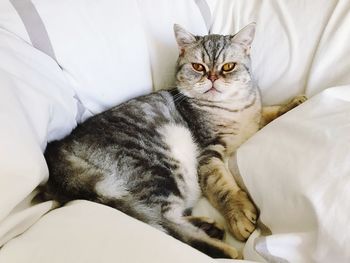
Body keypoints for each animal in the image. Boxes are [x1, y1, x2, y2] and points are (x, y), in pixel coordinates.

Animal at [39, 23, 306, 260]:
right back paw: (223, 250)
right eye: (198, 66)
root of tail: (59, 148)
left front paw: (293, 104)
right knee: (165, 223)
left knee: (162, 216)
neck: (234, 109)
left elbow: (267, 112)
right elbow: (222, 186)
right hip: (159, 167)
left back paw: (209, 227)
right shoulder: (208, 154)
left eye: (228, 67)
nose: (212, 77)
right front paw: (238, 213)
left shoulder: (252, 121)